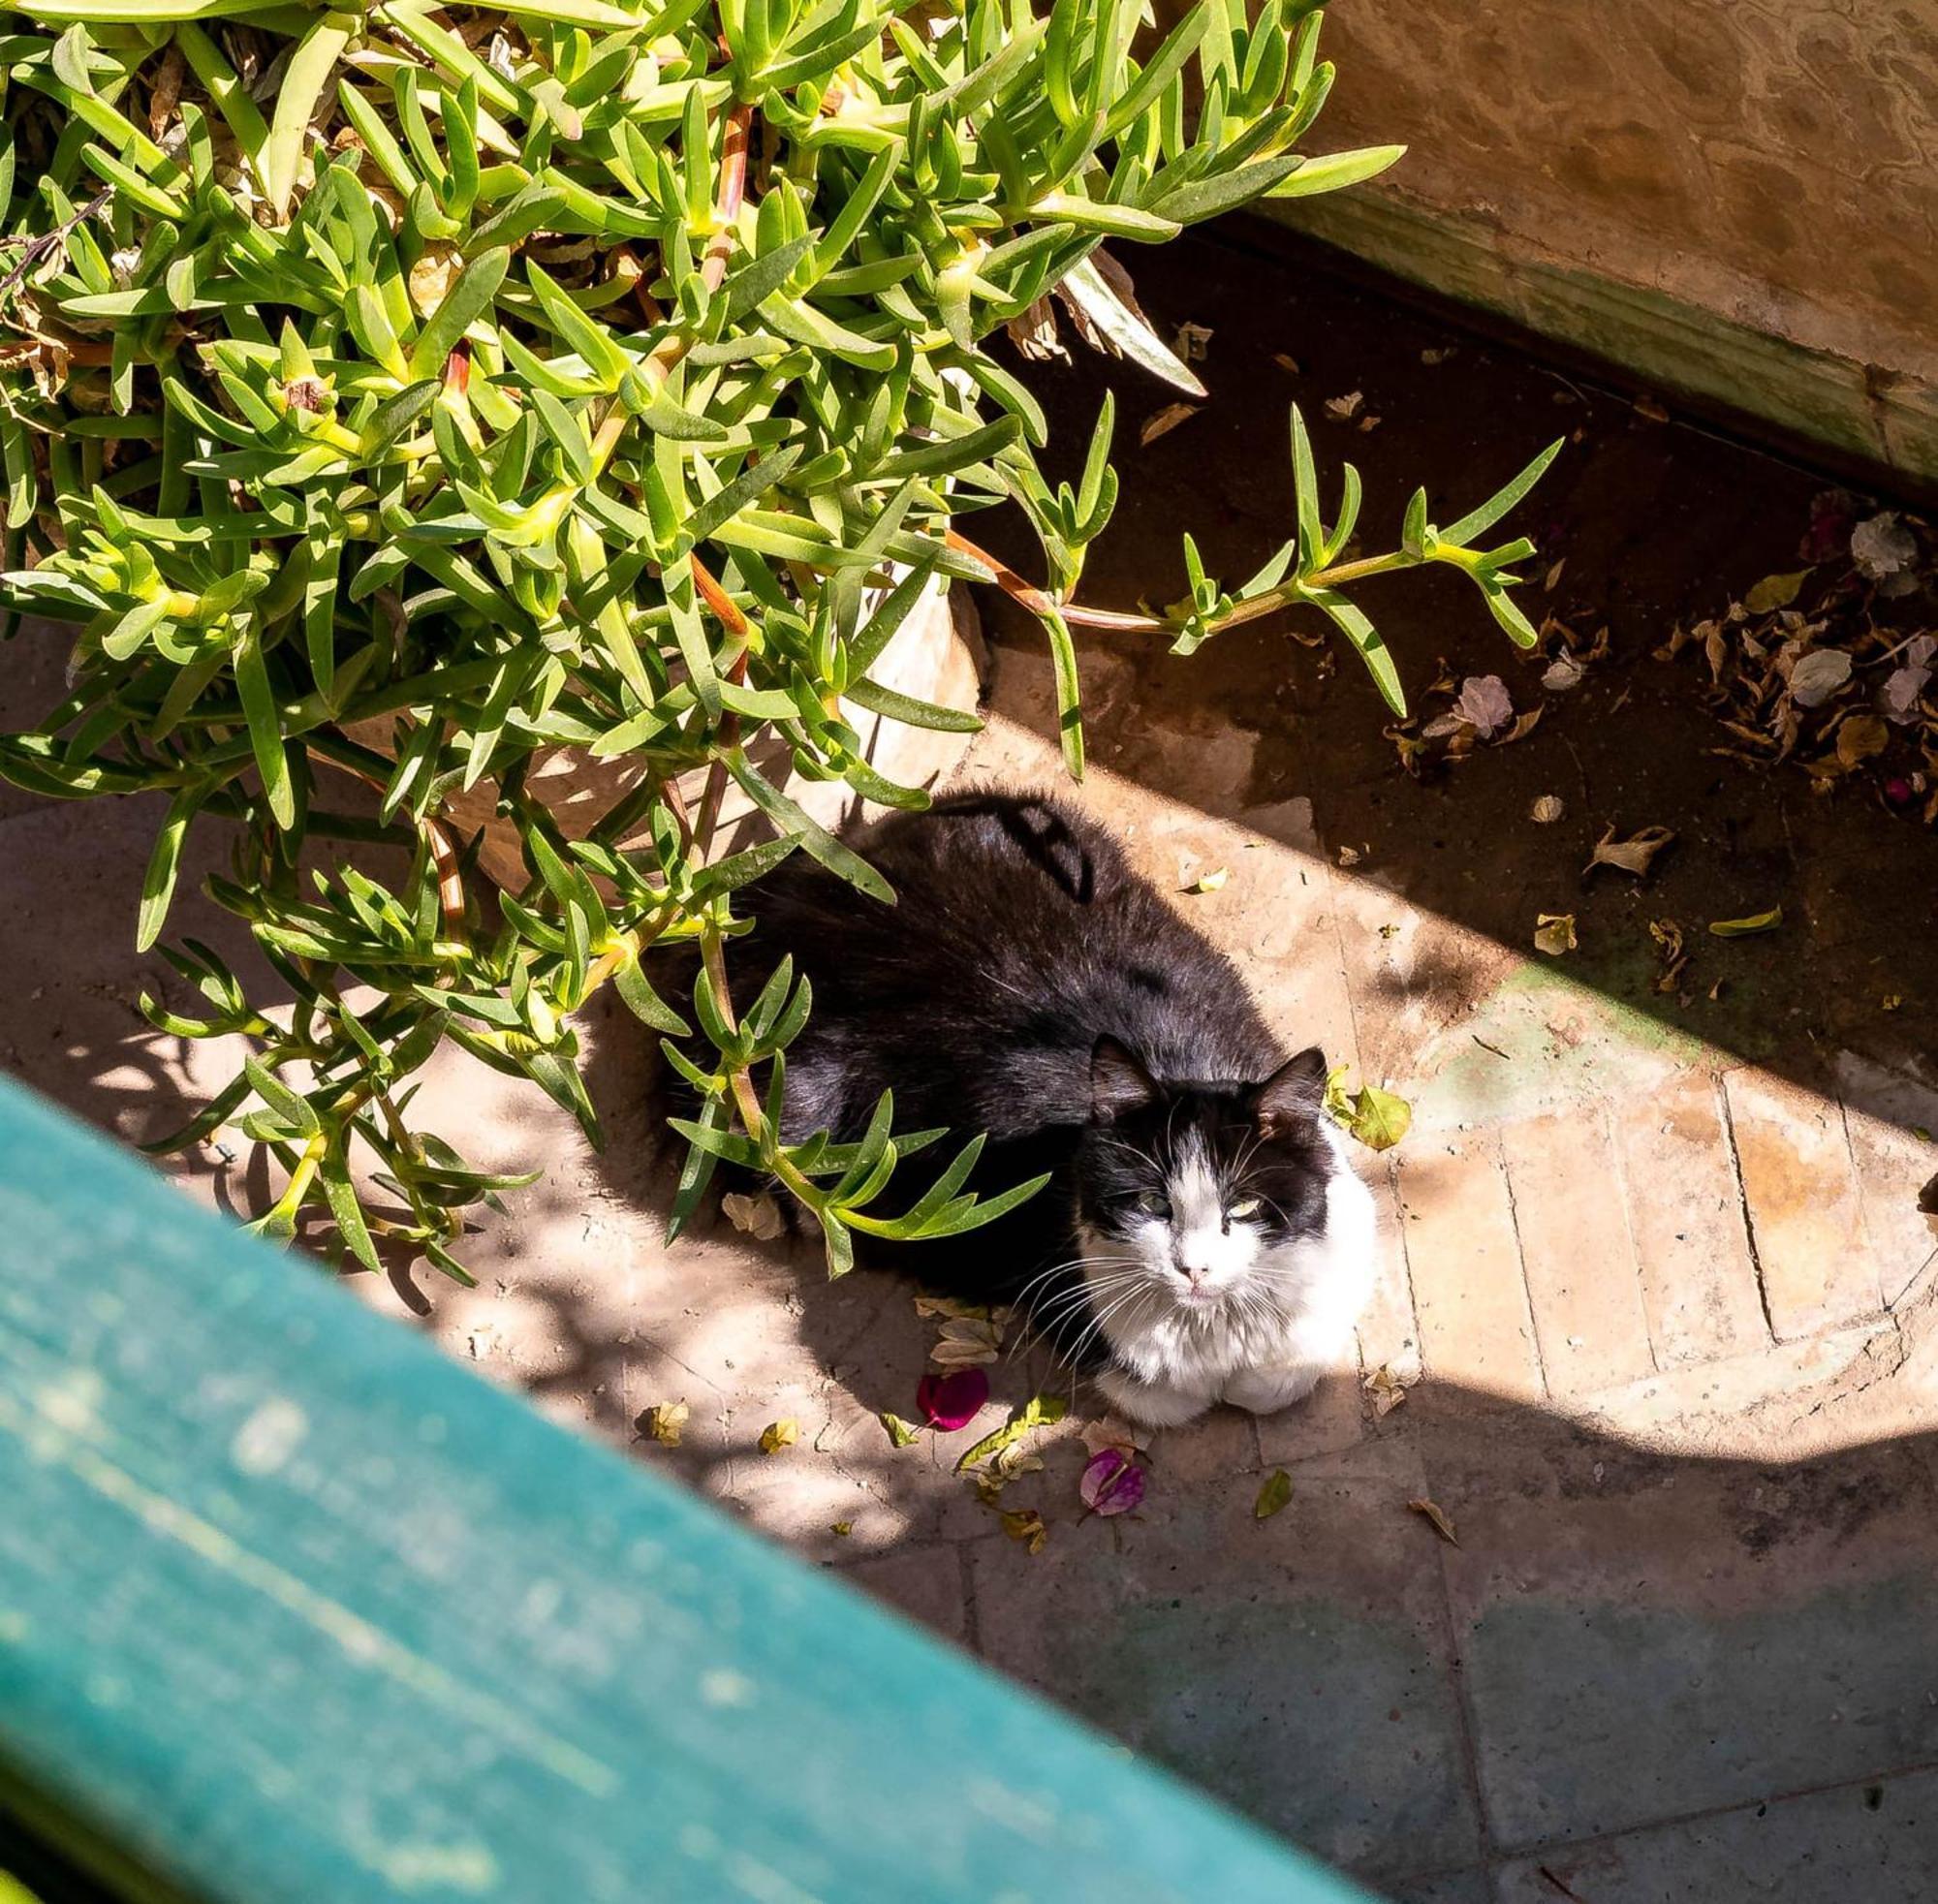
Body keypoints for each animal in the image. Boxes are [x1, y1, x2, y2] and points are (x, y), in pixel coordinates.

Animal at [729, 783, 1380, 1426]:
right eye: (1152, 1203)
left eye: (1243, 1207)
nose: (1193, 1268)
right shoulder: (1054, 1280)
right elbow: (1166, 1394)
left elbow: (1282, 1375)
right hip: (792, 1107)